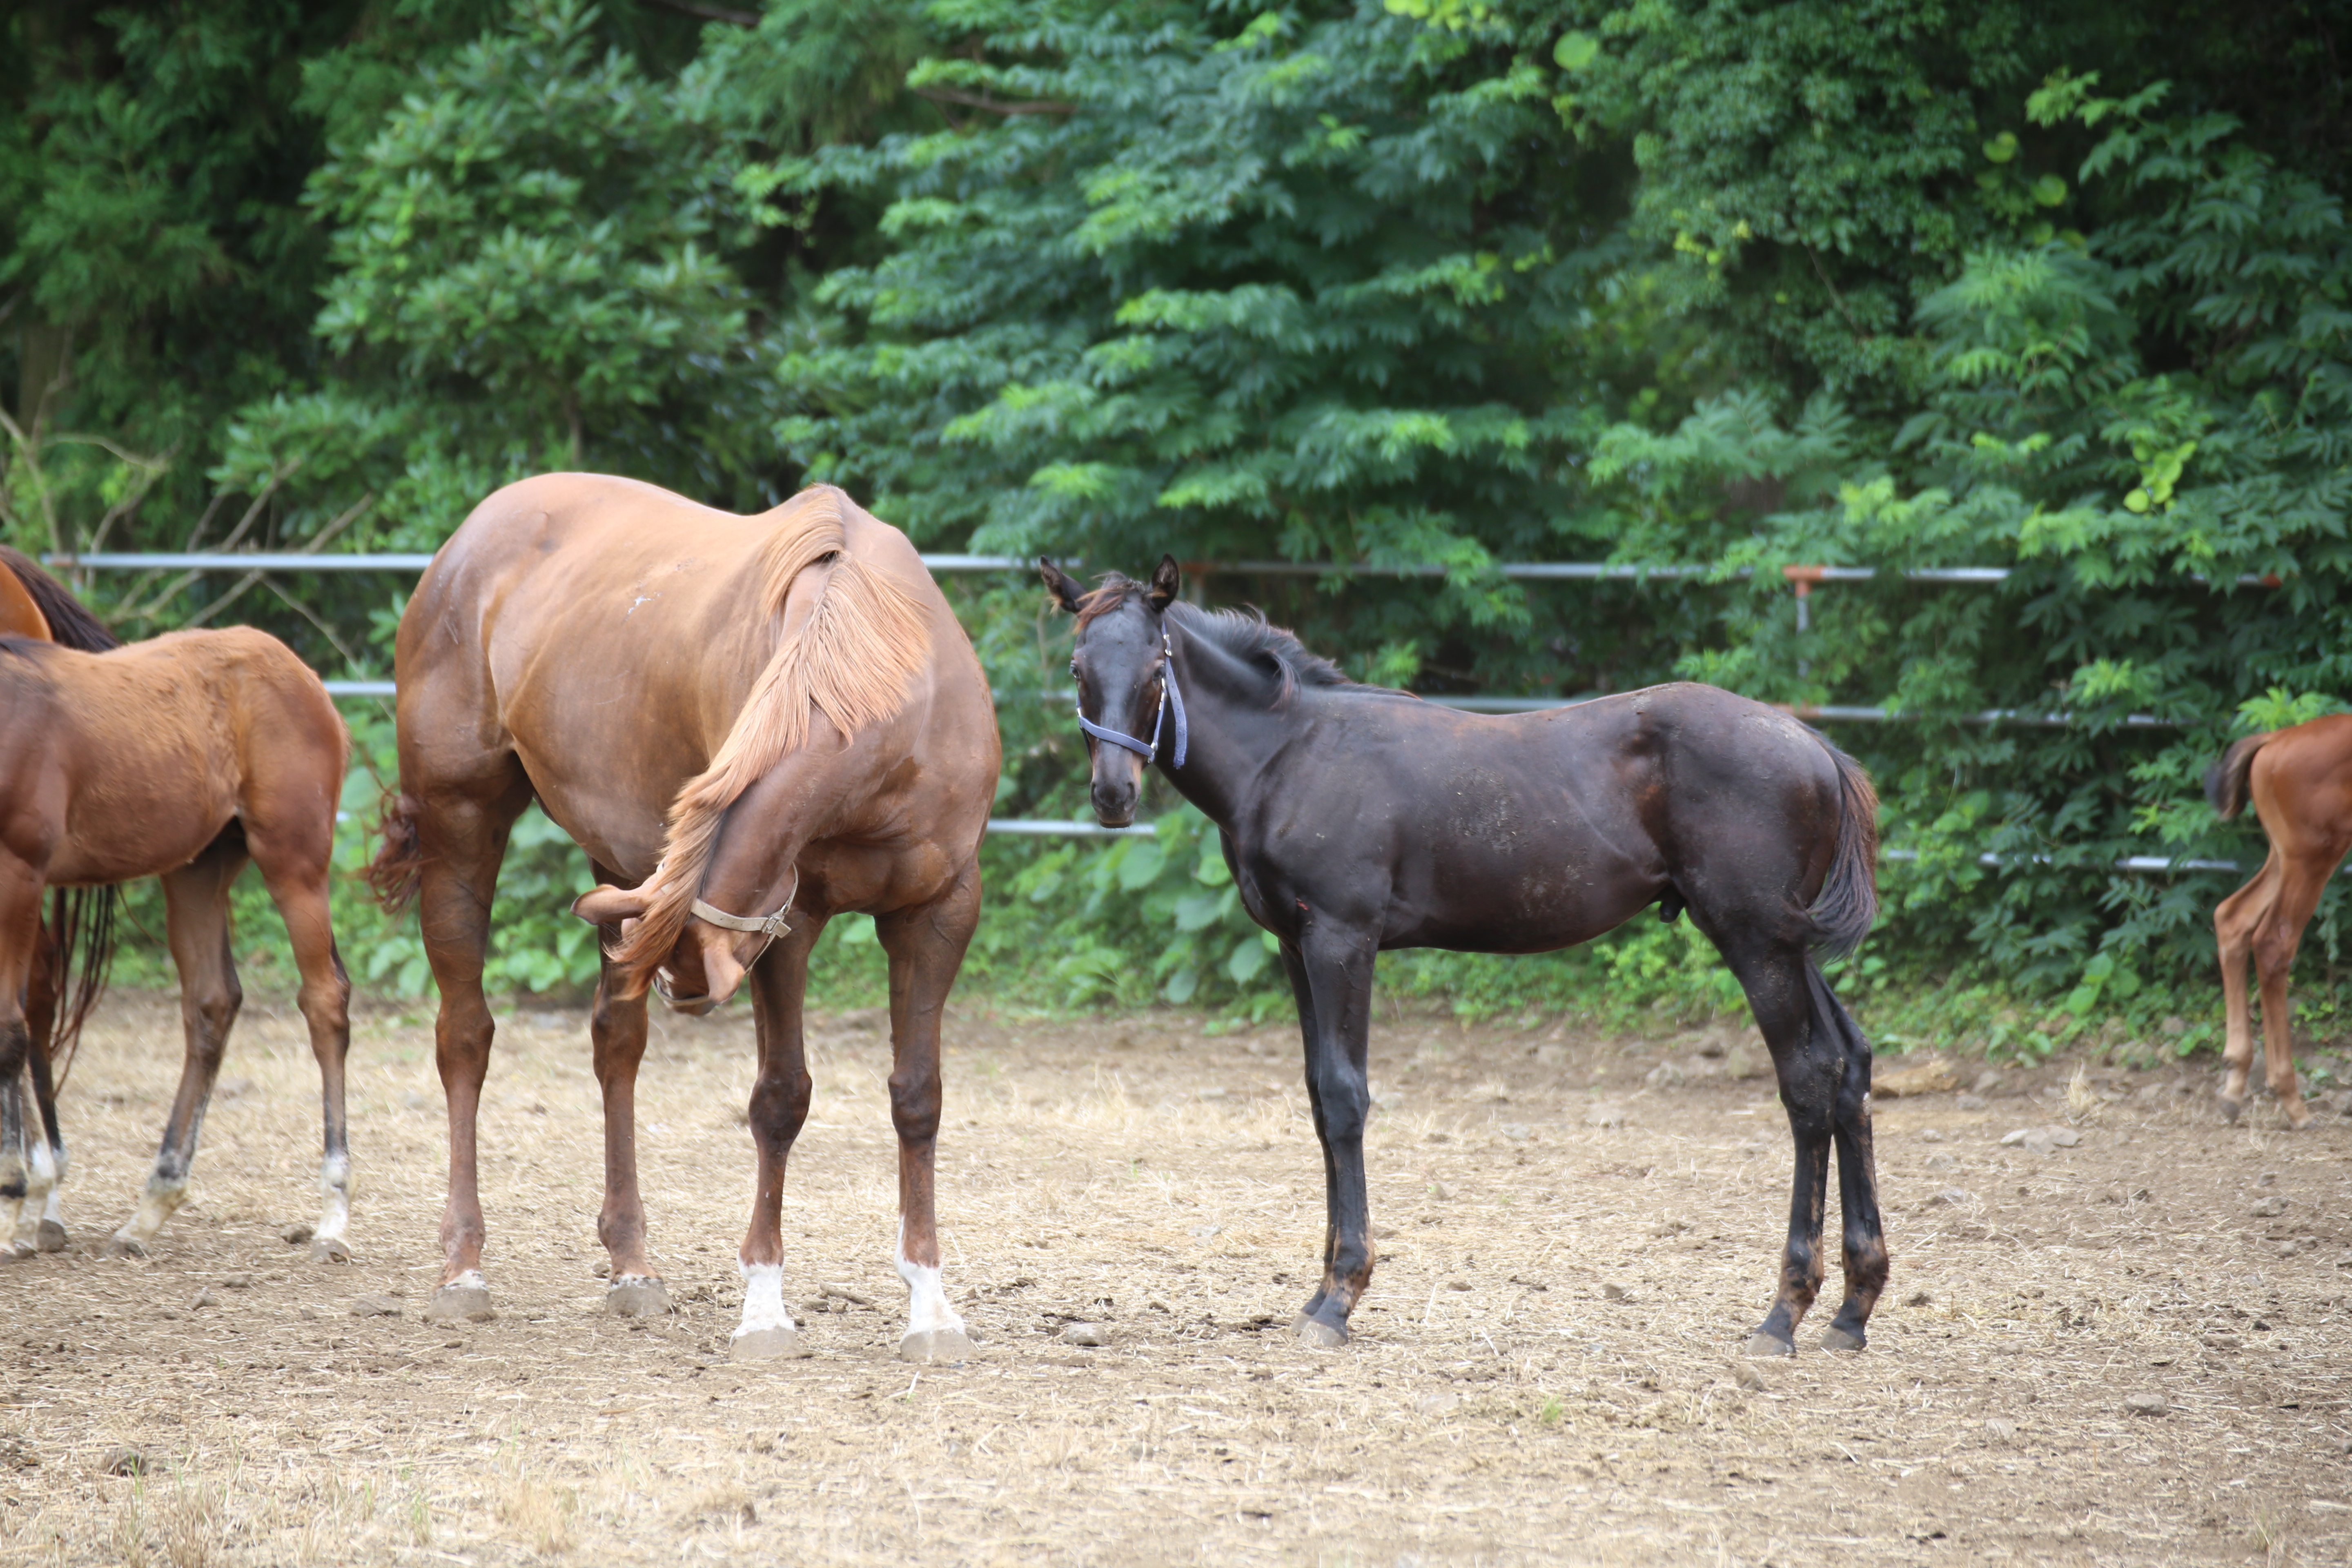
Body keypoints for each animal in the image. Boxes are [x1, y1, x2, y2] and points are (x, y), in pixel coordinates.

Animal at [0, 576, 357, 1260]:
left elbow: (9, 1029)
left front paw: (13, 1202)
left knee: (325, 1002)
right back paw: (152, 1203)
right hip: (197, 870)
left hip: (294, 862)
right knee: (212, 1003)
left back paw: (332, 1215)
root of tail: (302, 675)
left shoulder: (19, 874)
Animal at [372, 474, 997, 1363]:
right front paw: (765, 1305)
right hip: (463, 827)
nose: (682, 990)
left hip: (614, 855)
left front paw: (930, 1307)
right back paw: (463, 1267)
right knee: (465, 1036)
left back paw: (632, 1264)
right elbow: (781, 1099)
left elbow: (918, 1098)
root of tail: (470, 538)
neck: (879, 690)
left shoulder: (939, 913)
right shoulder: (792, 920)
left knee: (615, 1042)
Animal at [1058, 557, 1882, 1354]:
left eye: (1157, 667)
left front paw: (1341, 1298)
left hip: (1753, 938)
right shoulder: (1295, 948)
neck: (1290, 755)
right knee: (1850, 1064)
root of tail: (1814, 746)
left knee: (1808, 1081)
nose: (1113, 795)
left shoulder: (1342, 939)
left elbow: (1346, 1097)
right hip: (1786, 943)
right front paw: (1317, 1293)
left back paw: (1783, 1314)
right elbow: (1319, 1100)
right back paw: (1853, 1308)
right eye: (1078, 667)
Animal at [2192, 719, 2352, 1133]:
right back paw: (2291, 1101)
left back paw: (2234, 1083)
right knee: (2272, 943)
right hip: (2312, 855)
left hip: (2284, 856)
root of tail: (2274, 739)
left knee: (2233, 917)